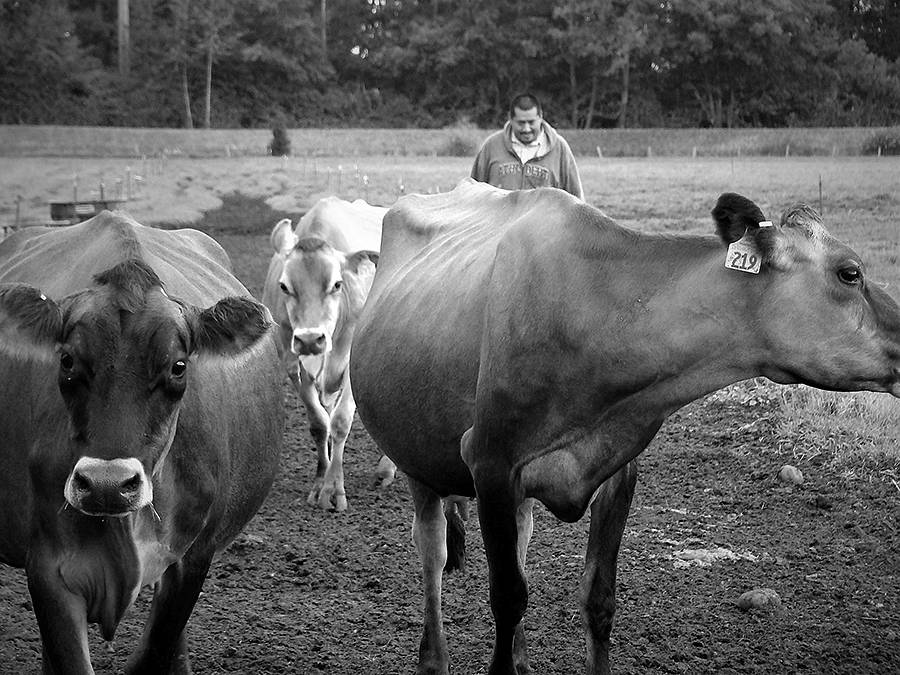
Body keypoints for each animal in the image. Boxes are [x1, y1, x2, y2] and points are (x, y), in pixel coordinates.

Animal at [0, 213, 284, 675]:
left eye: (178, 366)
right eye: (67, 360)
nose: (106, 485)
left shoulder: (191, 559)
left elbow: (155, 651)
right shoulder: (46, 565)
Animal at [262, 195, 400, 512]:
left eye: (337, 284)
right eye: (284, 286)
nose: (310, 339)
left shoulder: (351, 361)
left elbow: (340, 421)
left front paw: (333, 489)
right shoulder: (291, 361)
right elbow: (319, 423)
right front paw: (319, 481)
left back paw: (387, 468)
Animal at [350, 180, 900, 675]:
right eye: (850, 273)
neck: (602, 316)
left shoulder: (618, 467)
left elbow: (599, 599)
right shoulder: (489, 460)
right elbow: (507, 596)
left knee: (519, 541)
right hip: (418, 459)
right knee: (432, 551)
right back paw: (433, 657)